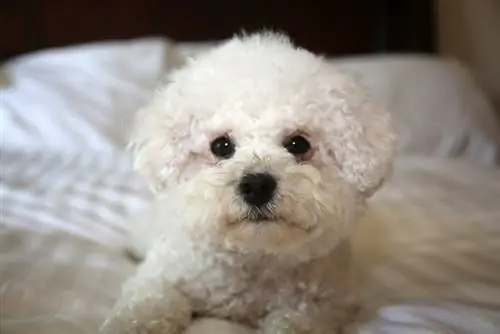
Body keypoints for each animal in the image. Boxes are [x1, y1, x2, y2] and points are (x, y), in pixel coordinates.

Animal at [101, 32, 396, 334]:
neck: (253, 255)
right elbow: (148, 304)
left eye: (298, 144)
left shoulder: (322, 304)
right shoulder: (160, 279)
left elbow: (297, 320)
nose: (257, 186)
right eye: (220, 146)